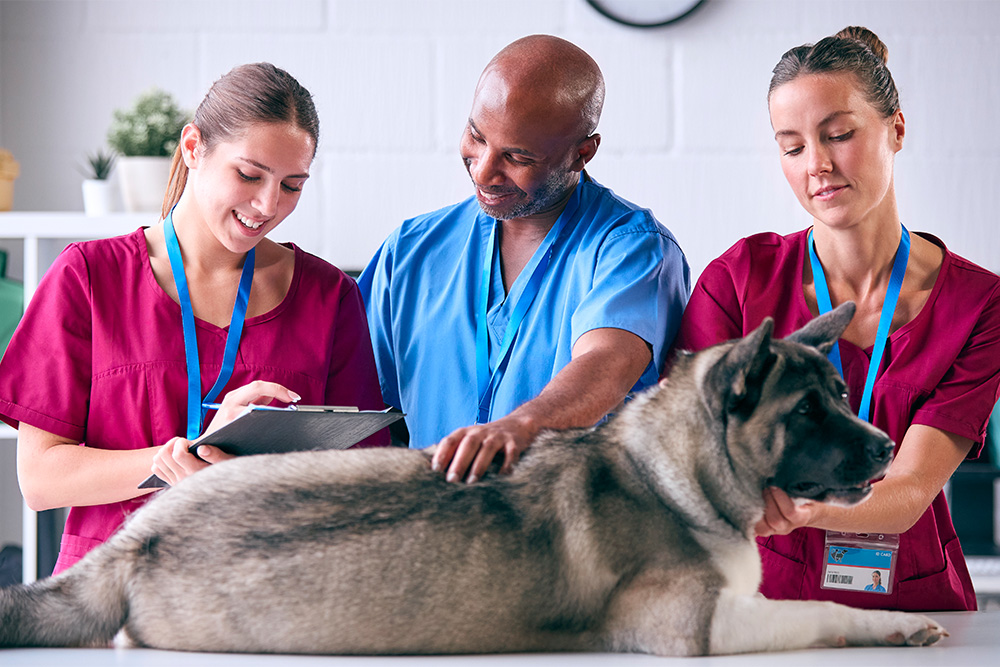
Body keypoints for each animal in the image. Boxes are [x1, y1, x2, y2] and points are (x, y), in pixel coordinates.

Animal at [0, 304, 944, 656]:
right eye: (808, 411)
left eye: (839, 395)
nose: (885, 447)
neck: (674, 468)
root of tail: (136, 541)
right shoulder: (691, 626)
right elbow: (818, 608)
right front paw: (895, 625)